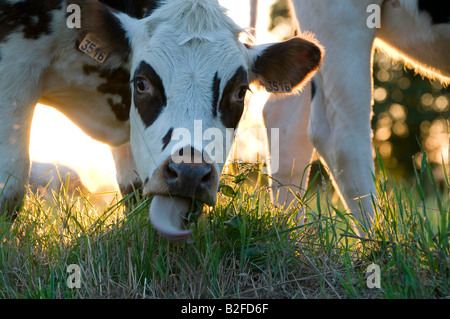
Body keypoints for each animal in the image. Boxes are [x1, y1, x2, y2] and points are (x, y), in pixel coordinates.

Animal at [0, 0, 324, 240]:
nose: (190, 173)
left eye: (240, 92)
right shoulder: (15, 61)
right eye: (142, 83)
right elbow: (11, 185)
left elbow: (134, 193)